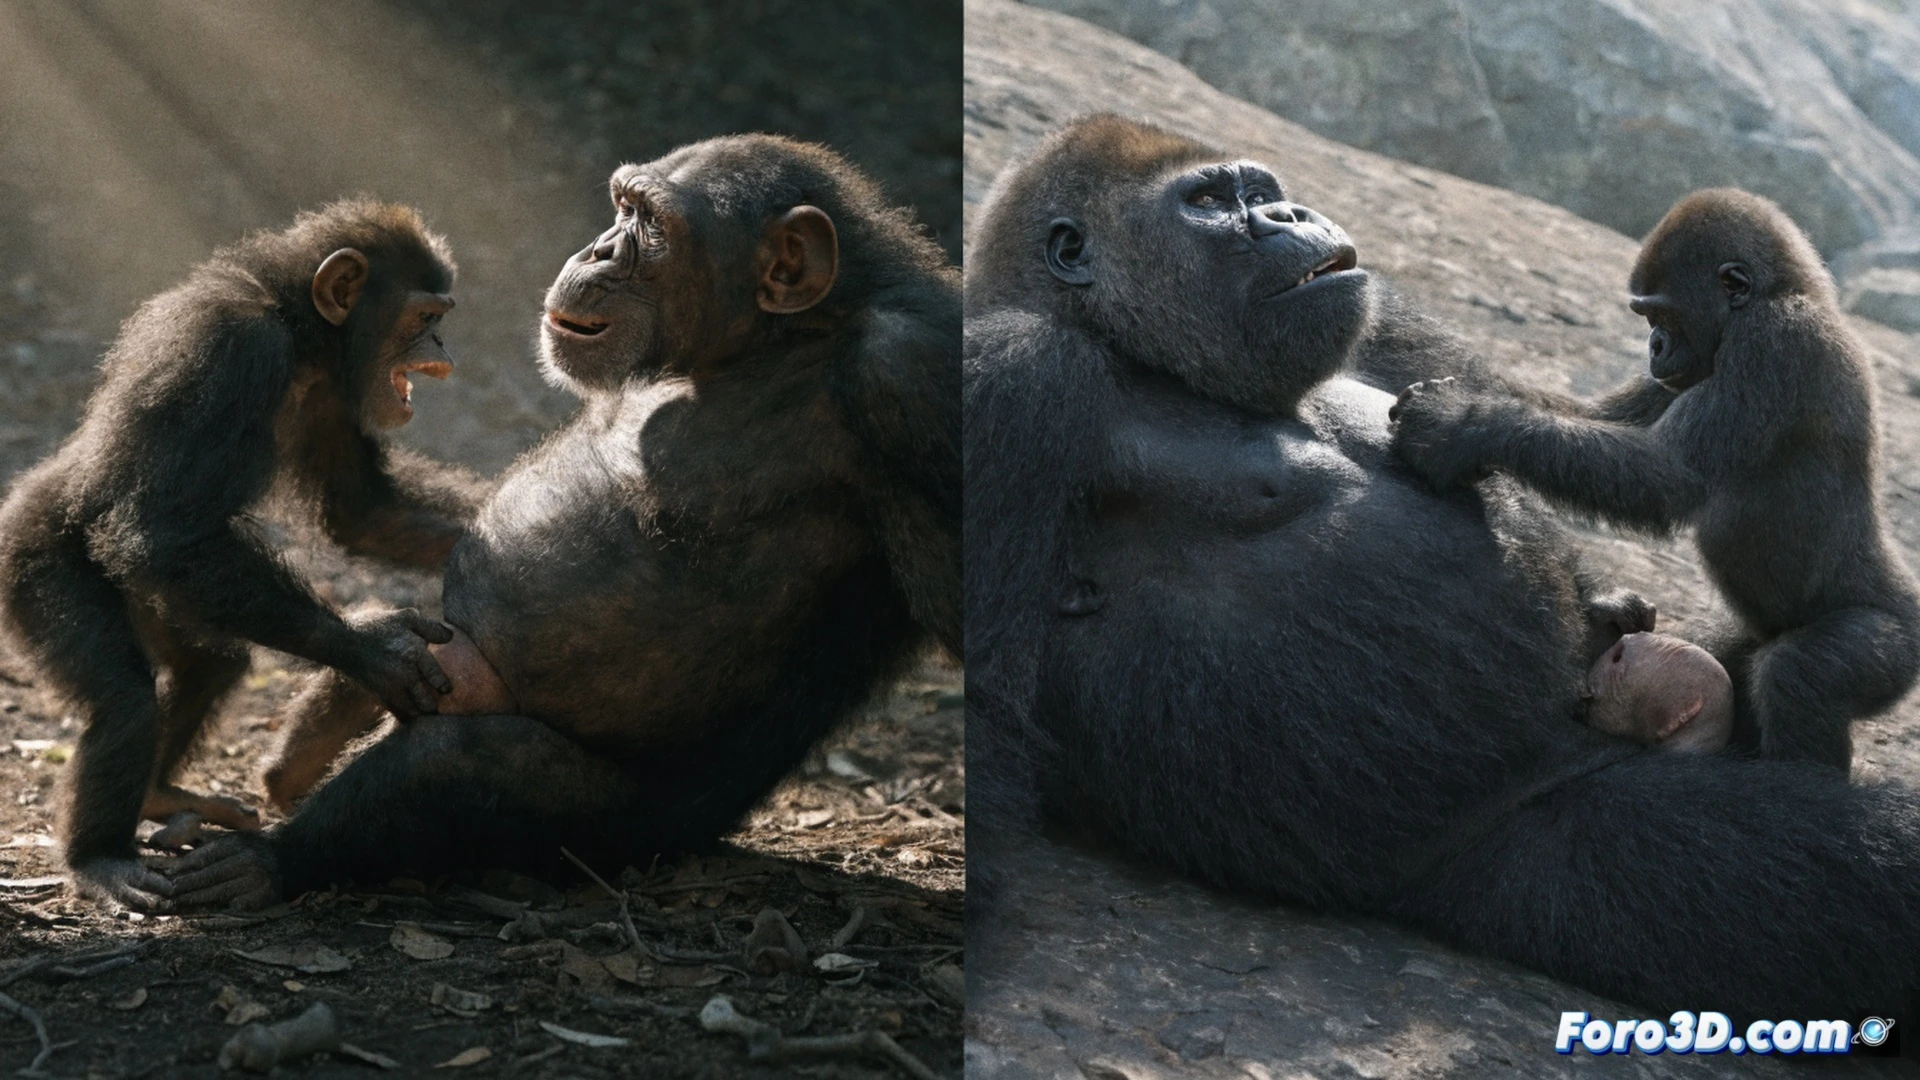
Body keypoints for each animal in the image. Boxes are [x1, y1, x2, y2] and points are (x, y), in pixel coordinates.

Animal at [0, 200, 485, 909]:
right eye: (425, 317)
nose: (443, 347)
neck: (300, 330)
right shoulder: (230, 351)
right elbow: (161, 526)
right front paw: (372, 647)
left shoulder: (335, 396)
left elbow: (363, 510)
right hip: (35, 568)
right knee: (125, 697)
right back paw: (99, 860)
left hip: (174, 598)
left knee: (211, 663)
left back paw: (159, 793)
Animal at [149, 135, 959, 910]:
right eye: (623, 205)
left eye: (650, 224)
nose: (596, 249)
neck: (770, 343)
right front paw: (365, 654)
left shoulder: (908, 383)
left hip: (616, 828)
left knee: (453, 768)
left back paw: (268, 860)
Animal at [1391, 188, 1920, 771]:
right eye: (1646, 318)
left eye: (1661, 314)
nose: (1655, 348)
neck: (1785, 293)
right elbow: (1602, 422)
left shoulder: (1773, 342)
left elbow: (1666, 473)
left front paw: (1463, 424)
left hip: (1895, 644)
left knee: (1800, 672)